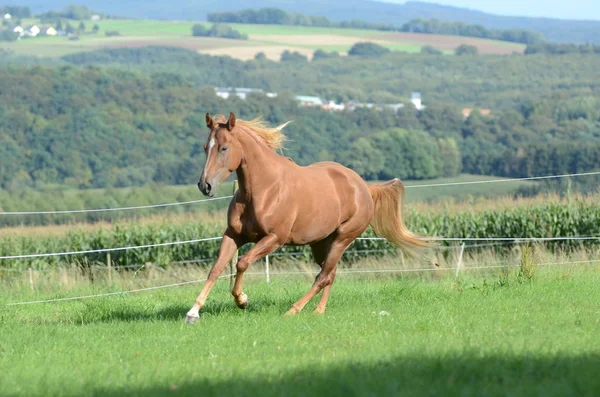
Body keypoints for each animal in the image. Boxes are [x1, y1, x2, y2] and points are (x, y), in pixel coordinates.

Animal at [185, 111, 428, 322]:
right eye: (206, 147)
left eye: (224, 148)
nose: (205, 186)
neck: (264, 189)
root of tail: (364, 187)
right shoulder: (233, 235)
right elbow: (216, 269)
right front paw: (193, 312)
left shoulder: (275, 239)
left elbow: (242, 262)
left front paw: (243, 300)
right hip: (321, 243)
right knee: (330, 274)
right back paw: (318, 311)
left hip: (342, 239)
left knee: (322, 277)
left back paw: (294, 310)